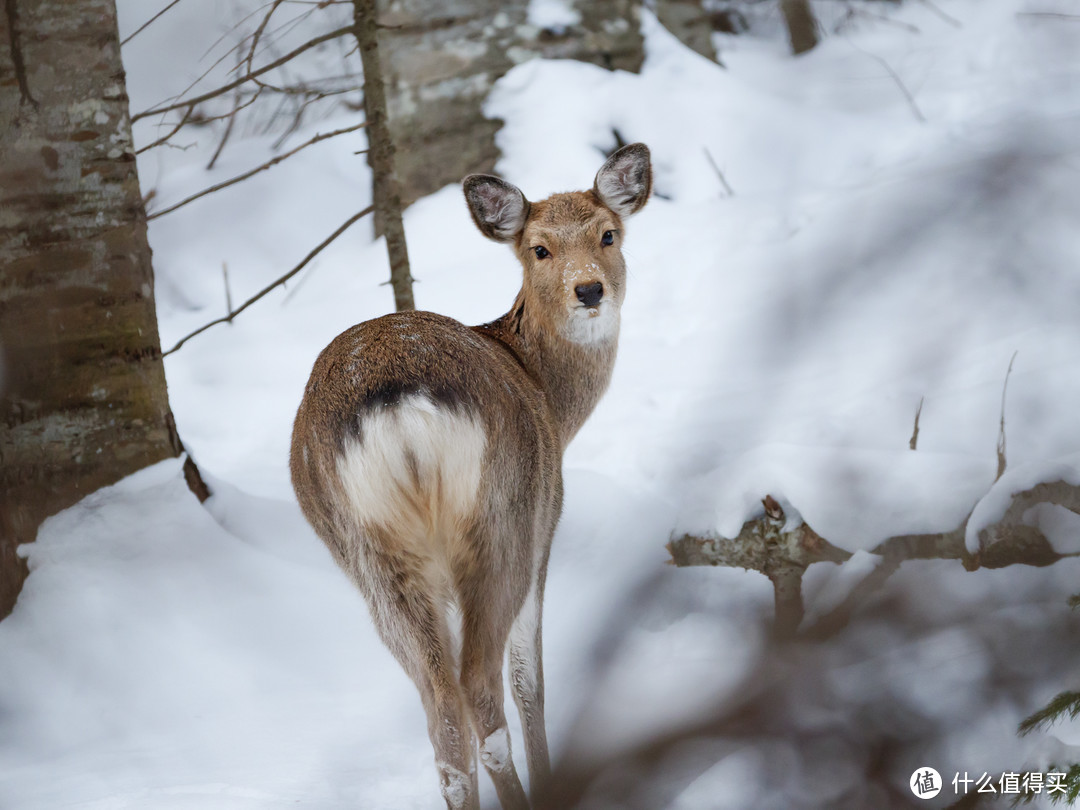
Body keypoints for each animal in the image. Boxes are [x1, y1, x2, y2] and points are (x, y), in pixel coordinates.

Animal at [287, 142, 652, 807]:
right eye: (539, 248)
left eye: (608, 234)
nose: (589, 289)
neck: (547, 390)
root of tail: (399, 408)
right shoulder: (544, 526)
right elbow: (529, 678)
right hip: (500, 515)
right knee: (480, 684)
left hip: (369, 554)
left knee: (442, 713)